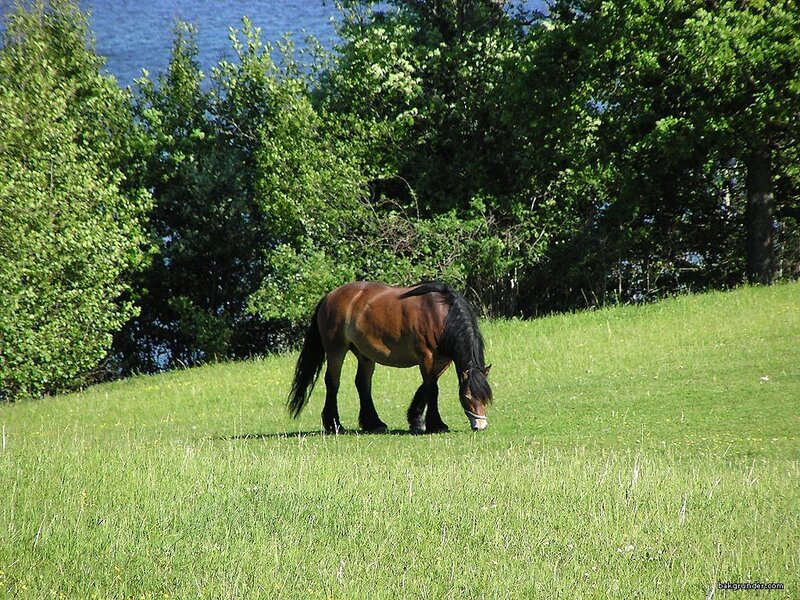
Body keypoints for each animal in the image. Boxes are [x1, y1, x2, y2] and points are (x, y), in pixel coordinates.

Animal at [287, 281, 492, 434]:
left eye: (486, 398)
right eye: (466, 396)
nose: (480, 426)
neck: (440, 315)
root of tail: (329, 297)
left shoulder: (442, 361)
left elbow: (425, 387)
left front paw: (416, 421)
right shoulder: (426, 357)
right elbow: (432, 389)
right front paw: (436, 425)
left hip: (364, 354)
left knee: (362, 384)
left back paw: (374, 424)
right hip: (336, 350)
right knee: (332, 383)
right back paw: (334, 425)